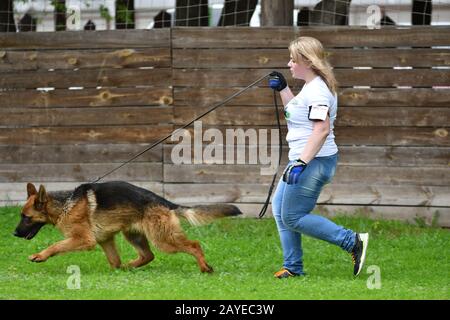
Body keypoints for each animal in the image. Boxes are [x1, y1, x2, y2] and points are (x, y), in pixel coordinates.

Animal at [12, 181, 241, 272]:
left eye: (26, 217)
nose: (14, 233)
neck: (65, 204)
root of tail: (164, 202)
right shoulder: (105, 239)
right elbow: (114, 261)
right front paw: (117, 269)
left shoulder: (84, 240)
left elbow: (56, 245)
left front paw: (40, 256)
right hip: (133, 235)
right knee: (148, 256)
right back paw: (128, 267)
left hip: (163, 239)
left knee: (194, 245)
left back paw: (204, 267)